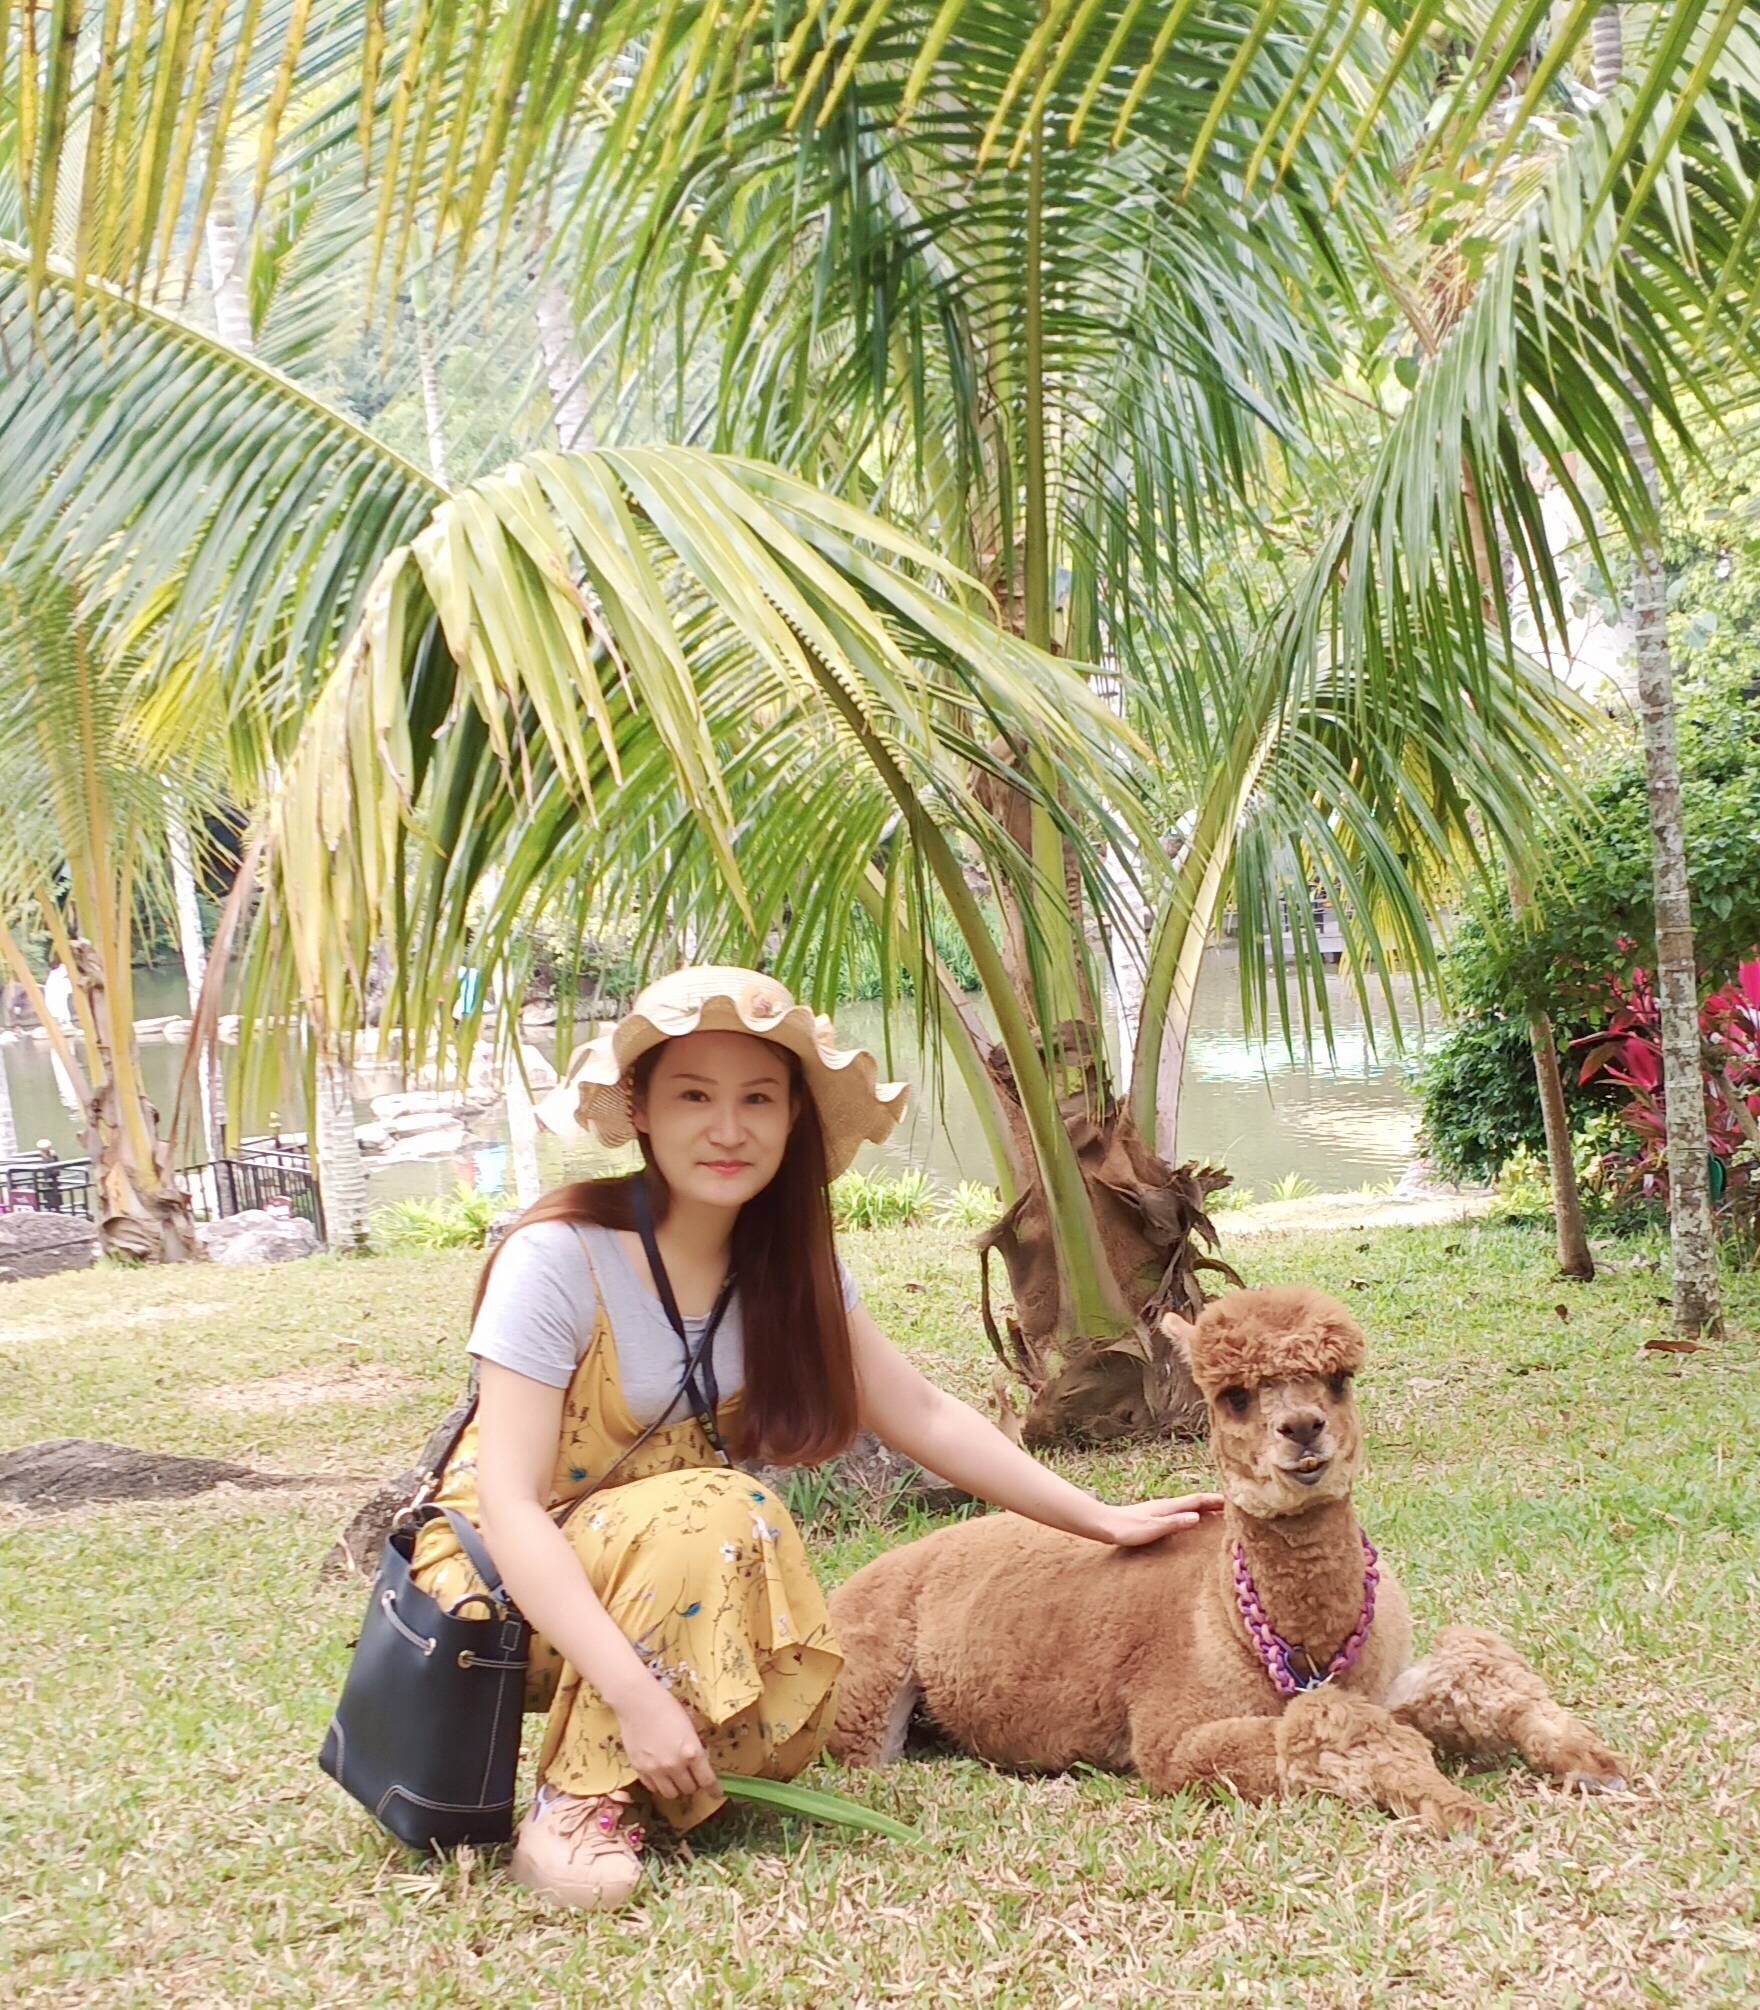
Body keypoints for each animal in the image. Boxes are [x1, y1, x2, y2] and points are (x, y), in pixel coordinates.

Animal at [828, 1286, 1626, 1832]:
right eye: (1235, 1397)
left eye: (1340, 1380)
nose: (1302, 1429)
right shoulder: (1172, 1739)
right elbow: (1330, 1730)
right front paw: (1456, 1805)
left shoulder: (1385, 1672)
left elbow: (1478, 1671)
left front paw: (1592, 1761)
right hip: (862, 1689)